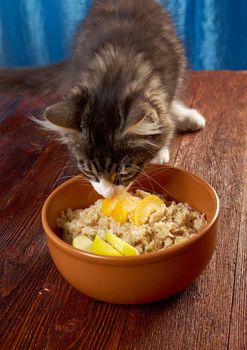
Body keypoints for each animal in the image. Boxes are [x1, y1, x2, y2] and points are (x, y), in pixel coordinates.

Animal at [0, 0, 205, 197]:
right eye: (90, 172)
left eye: (123, 173)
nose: (108, 195)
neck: (115, 72)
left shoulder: (169, 77)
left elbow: (165, 115)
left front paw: (159, 148)